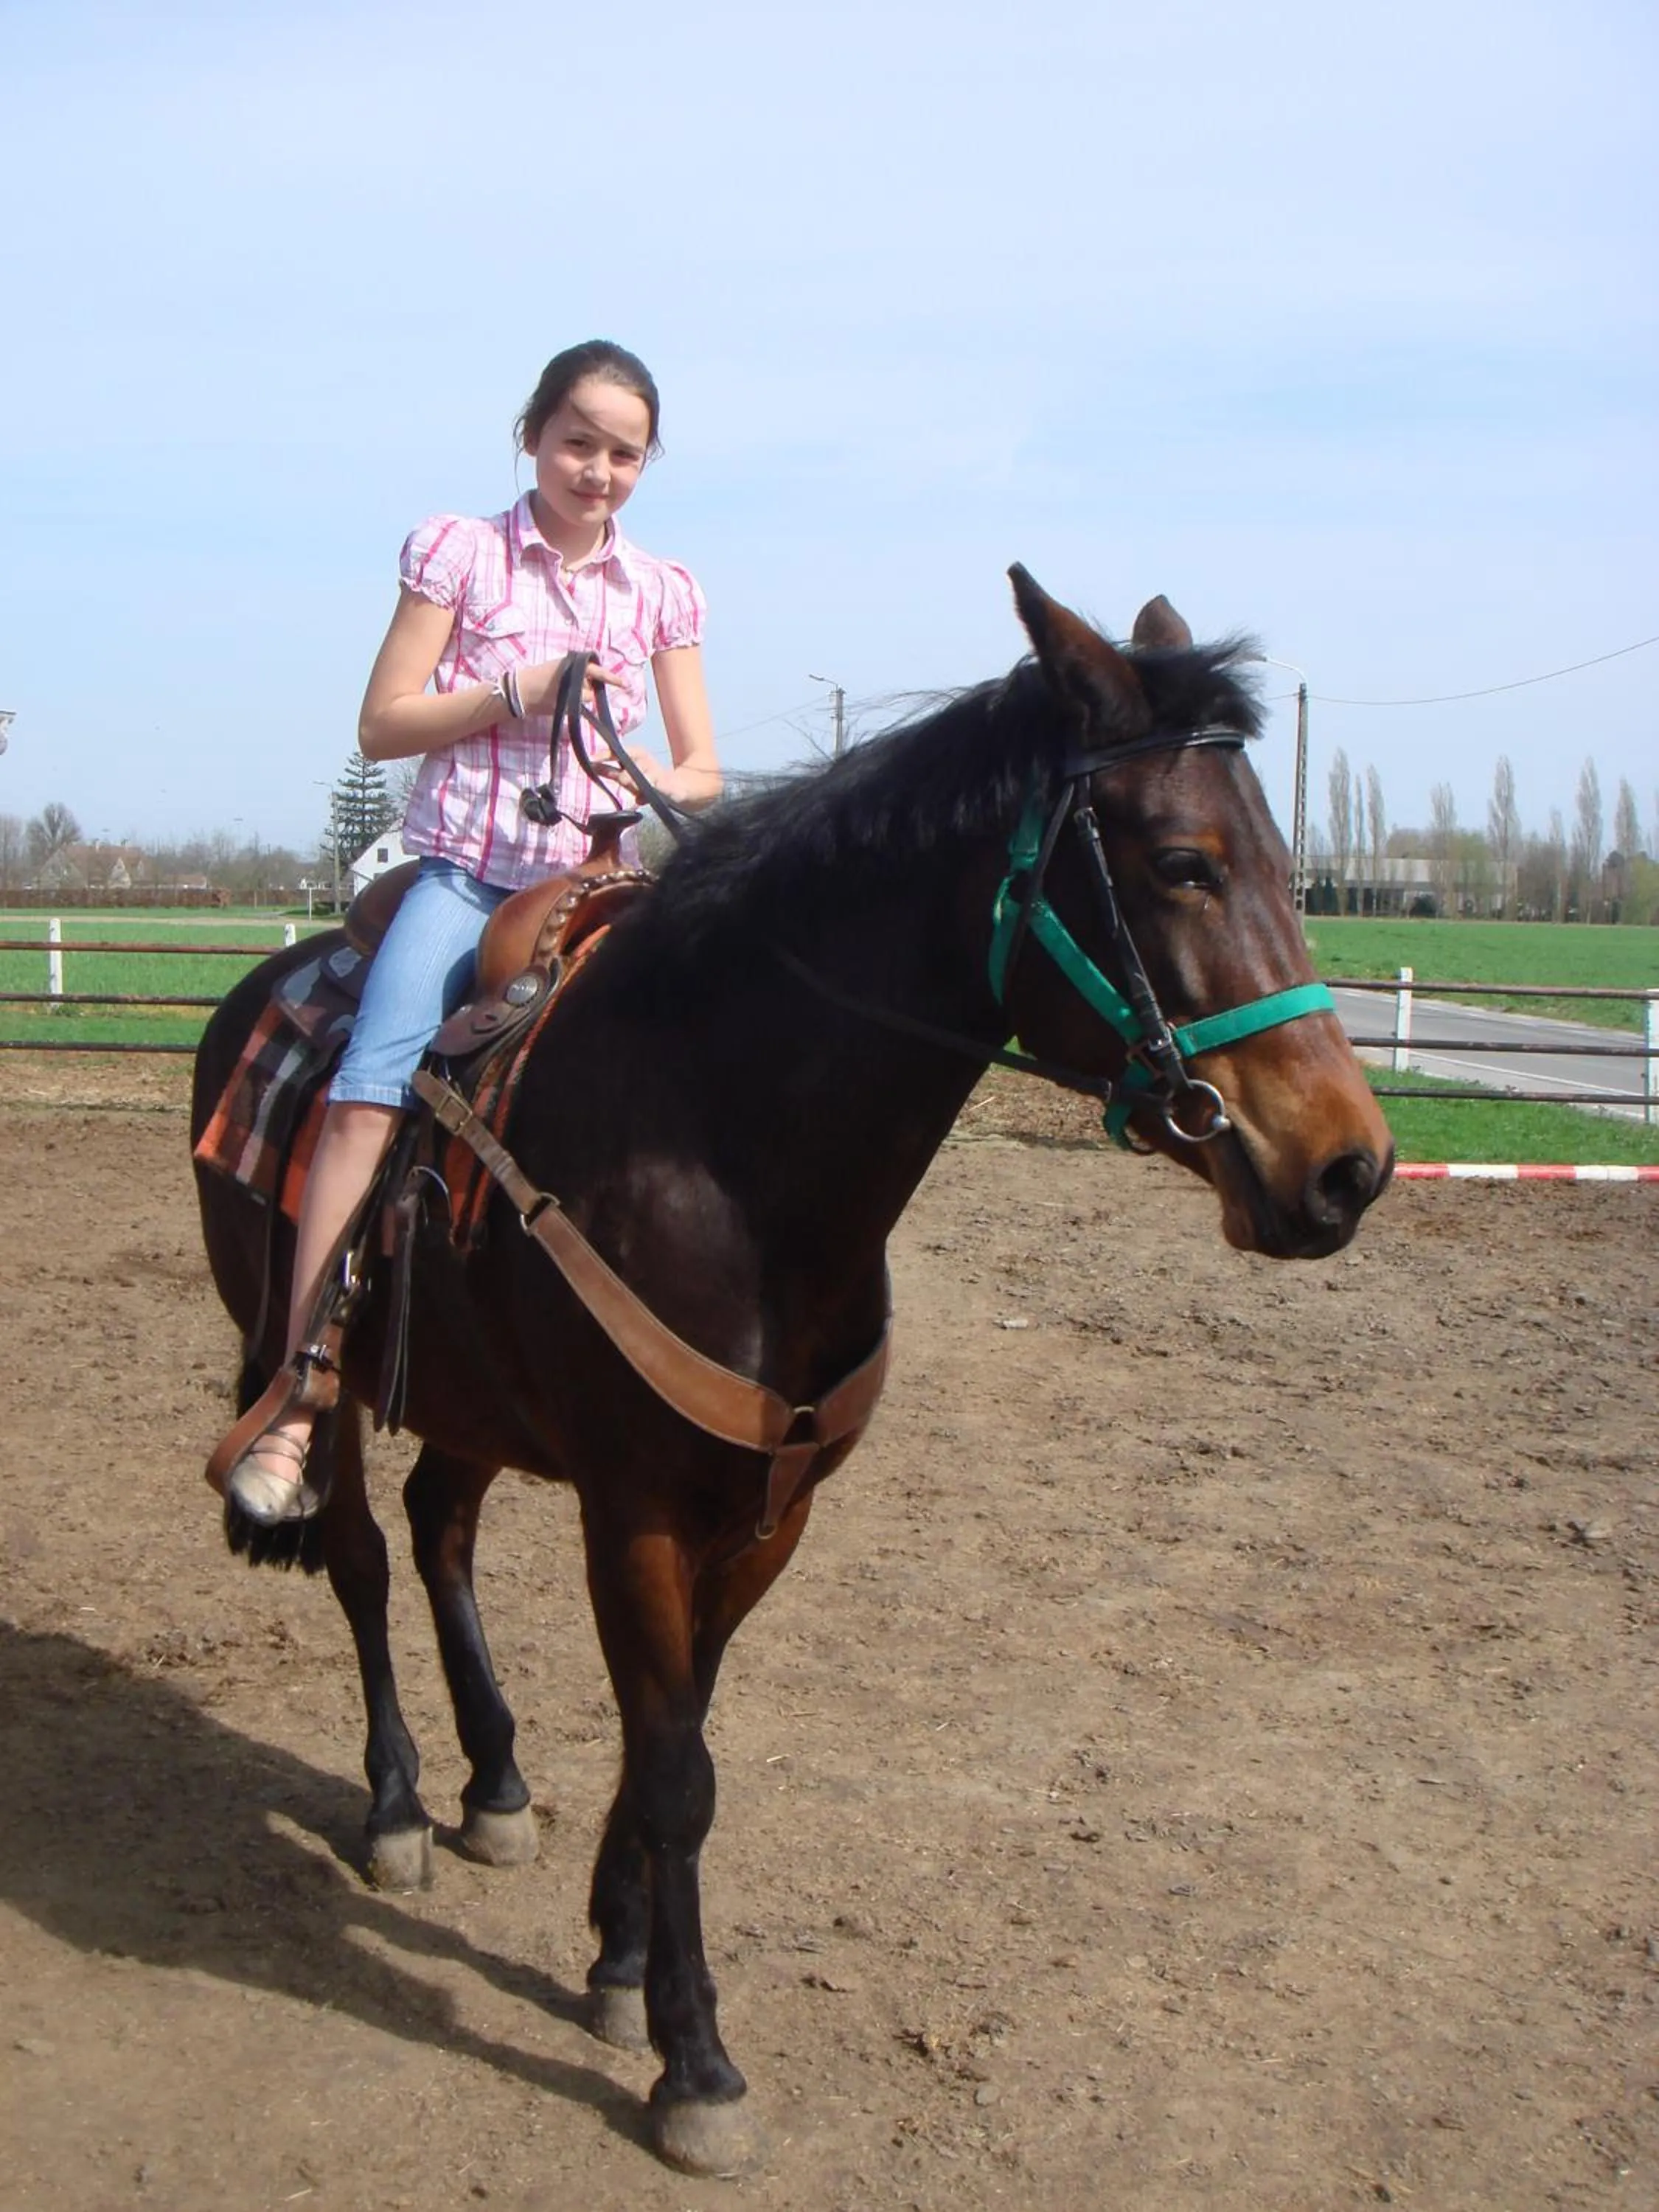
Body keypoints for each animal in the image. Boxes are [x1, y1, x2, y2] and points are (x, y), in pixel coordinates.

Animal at [191, 570, 1392, 2175]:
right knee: (363, 1553)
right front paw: (695, 2065)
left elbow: (676, 1736)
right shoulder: (636, 1511)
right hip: (301, 1365)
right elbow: (676, 1770)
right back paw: (392, 1808)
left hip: (475, 1400)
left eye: (1286, 866)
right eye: (1186, 864)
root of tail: (263, 992)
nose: (1348, 1168)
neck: (724, 1138)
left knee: (441, 1529)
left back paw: (494, 1783)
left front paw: (619, 1963)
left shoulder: (769, 1512)